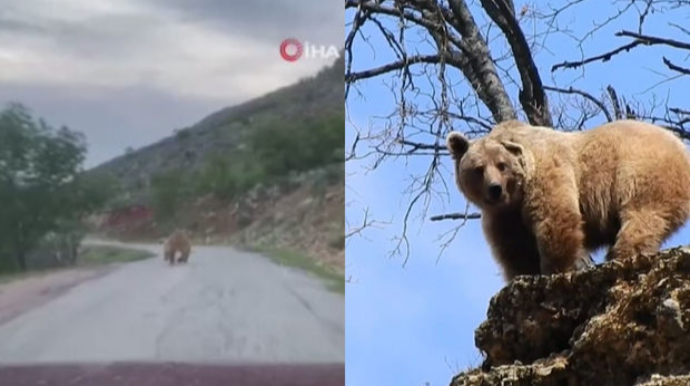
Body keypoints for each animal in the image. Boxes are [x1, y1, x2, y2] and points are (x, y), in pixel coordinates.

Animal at [444, 119, 688, 282]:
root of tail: (681, 147)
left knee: (643, 215)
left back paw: (622, 254)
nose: (495, 189)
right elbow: (515, 249)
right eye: (478, 169)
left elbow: (555, 218)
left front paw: (553, 270)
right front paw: (523, 274)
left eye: (501, 165)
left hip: (642, 169)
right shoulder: (504, 218)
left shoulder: (545, 173)